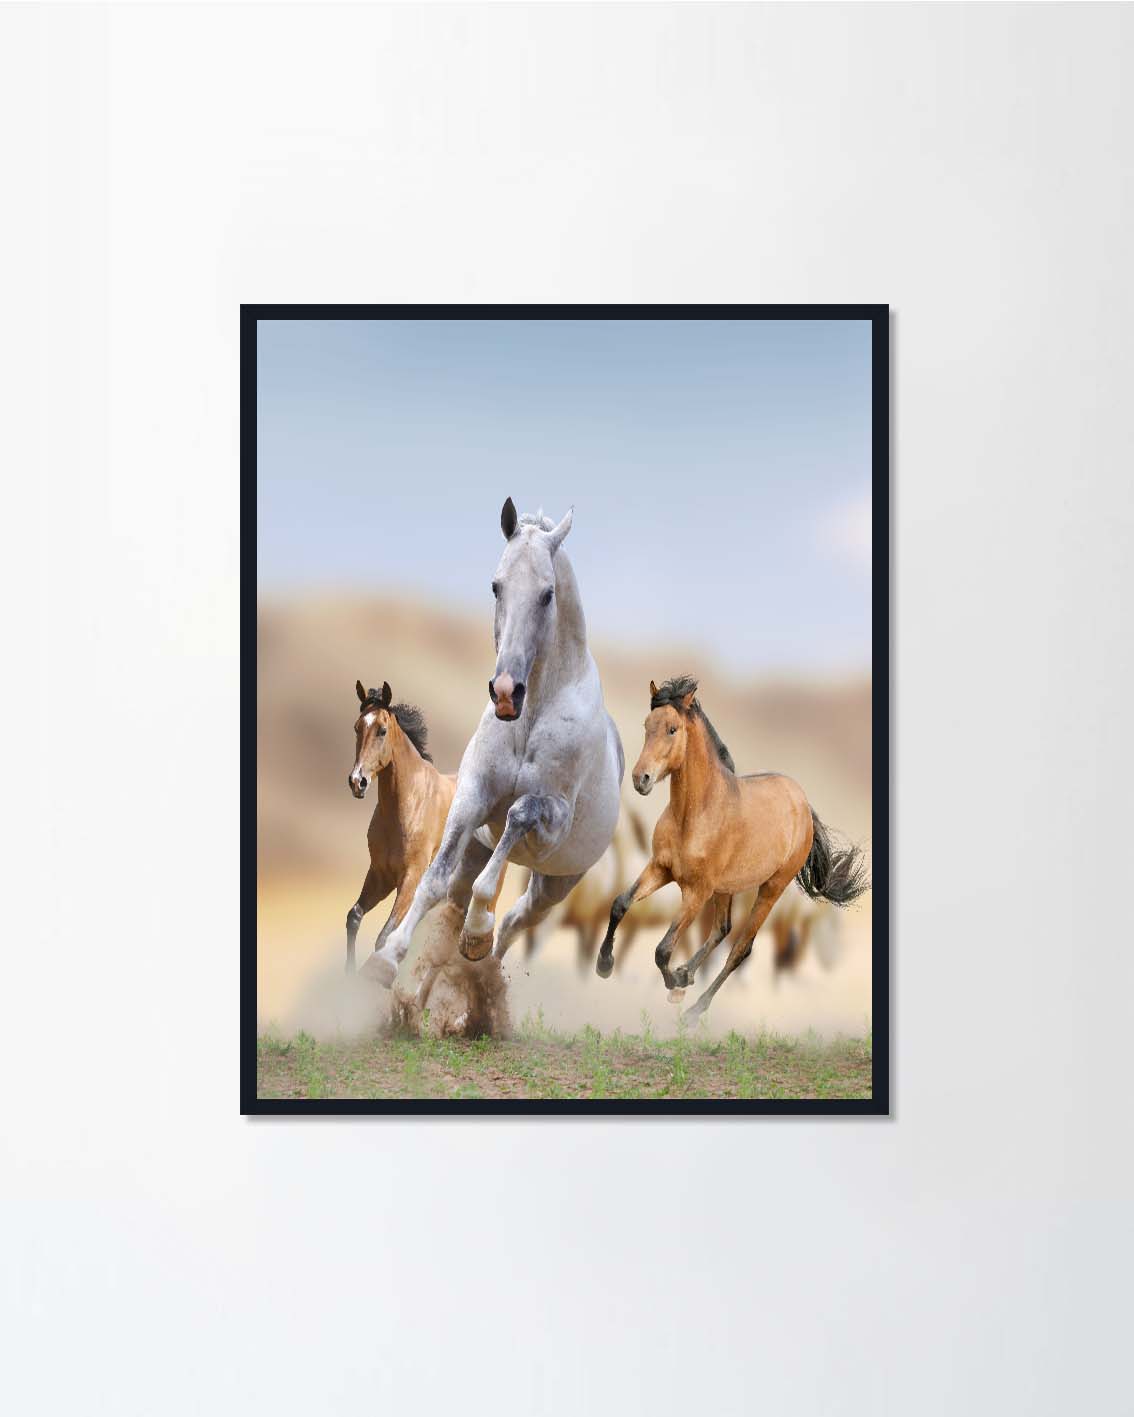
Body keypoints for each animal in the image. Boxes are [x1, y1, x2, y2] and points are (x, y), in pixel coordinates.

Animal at [344, 679, 456, 972]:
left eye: (382, 730)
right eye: (357, 727)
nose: (357, 781)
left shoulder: (411, 879)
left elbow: (385, 937)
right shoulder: (380, 875)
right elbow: (354, 916)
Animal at [360, 498, 624, 988]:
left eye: (547, 594)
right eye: (496, 586)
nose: (505, 692)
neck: (531, 716)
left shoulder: (550, 822)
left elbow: (516, 819)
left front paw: (477, 931)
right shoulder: (471, 798)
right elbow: (432, 882)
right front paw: (386, 960)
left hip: (556, 882)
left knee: (516, 920)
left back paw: (481, 963)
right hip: (479, 851)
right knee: (459, 901)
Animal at [595, 676, 868, 1022]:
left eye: (672, 728)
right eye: (647, 725)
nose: (640, 779)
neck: (694, 814)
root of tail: (803, 804)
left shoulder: (696, 892)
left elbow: (663, 949)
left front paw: (673, 983)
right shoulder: (660, 868)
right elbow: (620, 904)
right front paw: (605, 965)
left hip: (770, 889)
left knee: (740, 948)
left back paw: (693, 1009)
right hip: (726, 888)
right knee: (722, 929)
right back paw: (686, 975)